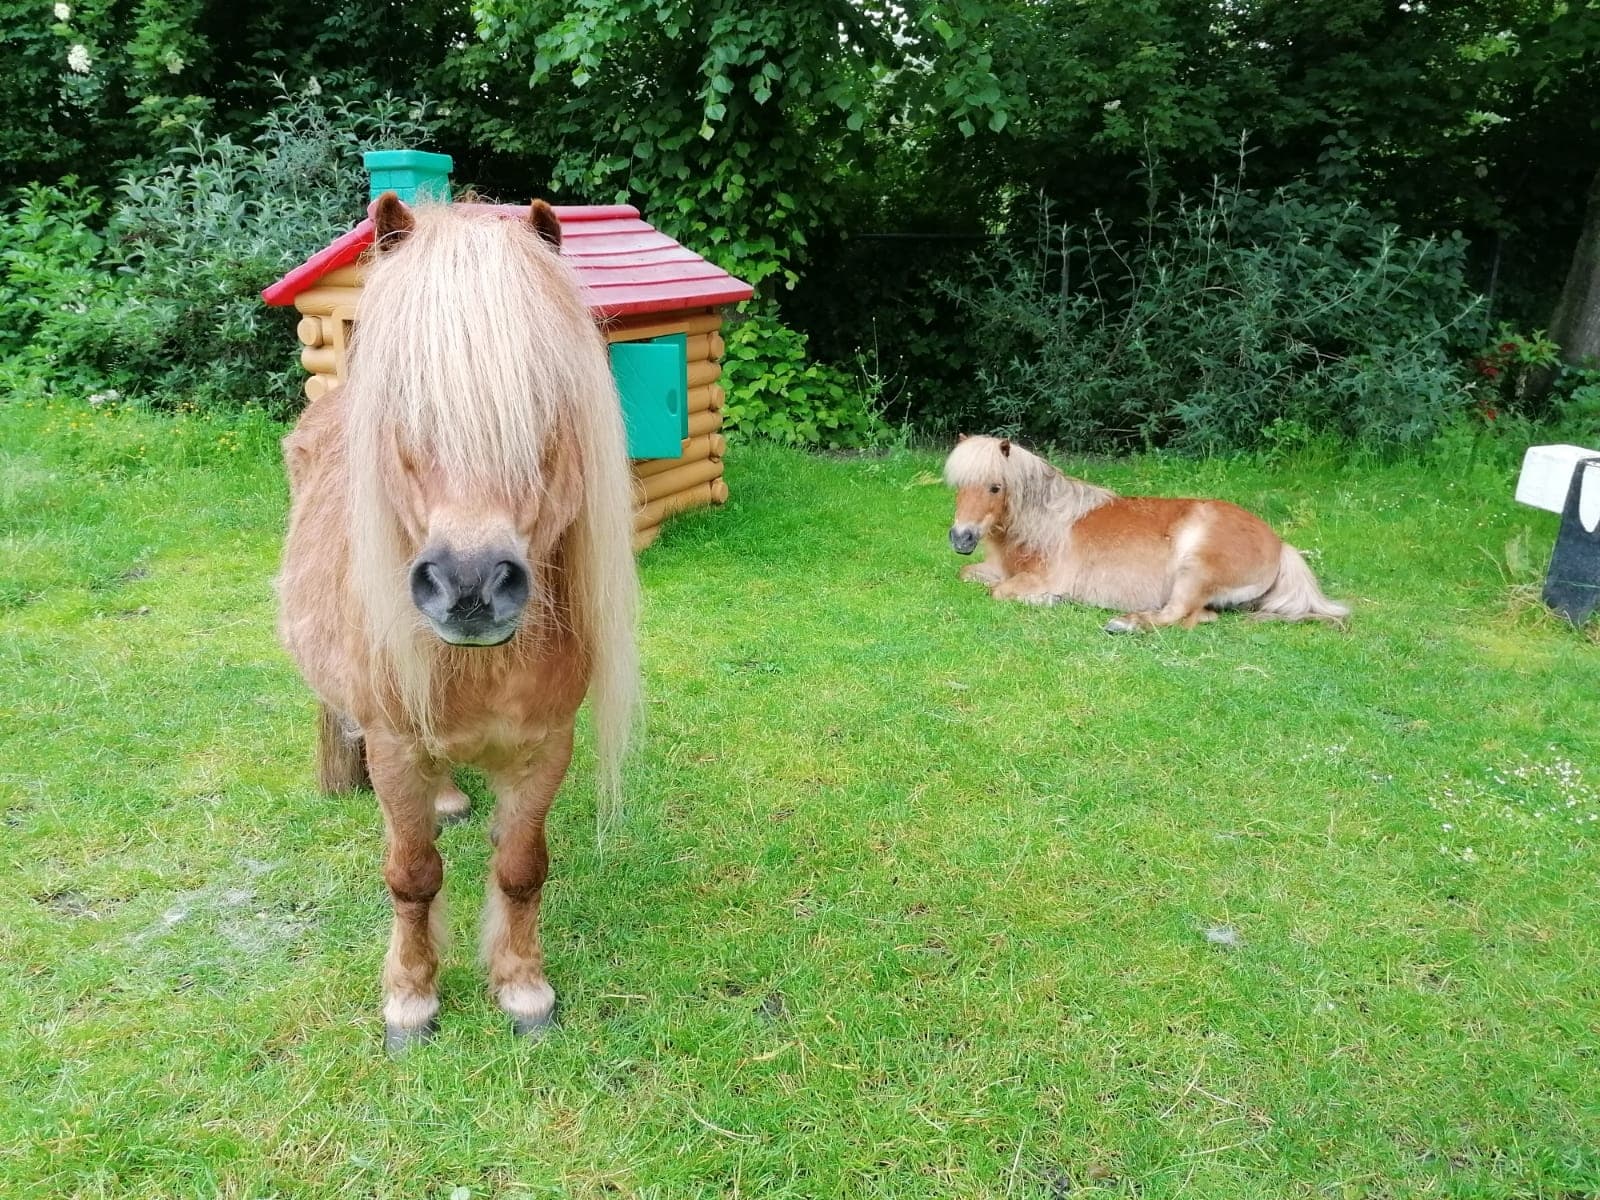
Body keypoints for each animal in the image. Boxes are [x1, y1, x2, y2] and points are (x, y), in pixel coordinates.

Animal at [276, 194, 640, 1051]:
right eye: (406, 409)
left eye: (547, 404)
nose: (470, 585)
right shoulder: (393, 746)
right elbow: (412, 875)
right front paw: (411, 1000)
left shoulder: (545, 748)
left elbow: (521, 867)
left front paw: (523, 988)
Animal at [943, 436, 1349, 632]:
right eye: (959, 485)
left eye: (995, 487)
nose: (962, 537)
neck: (1047, 521)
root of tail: (1280, 545)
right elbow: (967, 574)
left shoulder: (1038, 576)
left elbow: (999, 592)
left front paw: (1050, 599)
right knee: (1201, 617)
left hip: (1195, 570)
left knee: (1179, 615)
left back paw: (1125, 623)